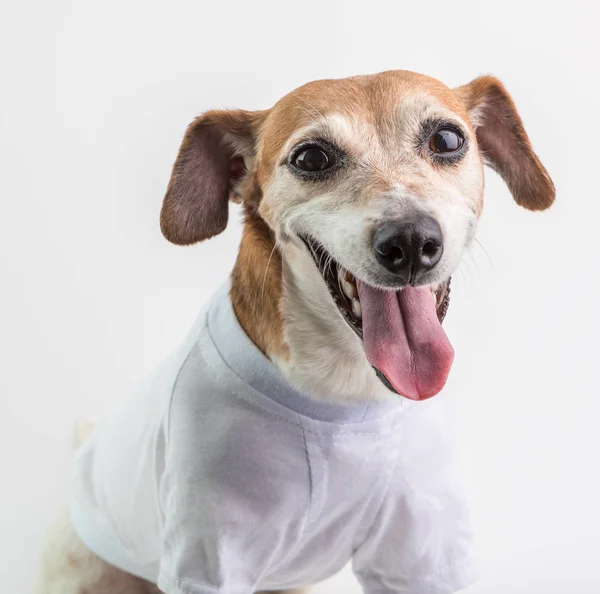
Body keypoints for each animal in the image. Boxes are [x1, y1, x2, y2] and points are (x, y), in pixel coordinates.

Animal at [36, 70, 552, 592]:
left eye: (447, 139)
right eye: (312, 157)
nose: (409, 241)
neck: (344, 394)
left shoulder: (420, 553)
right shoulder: (211, 555)